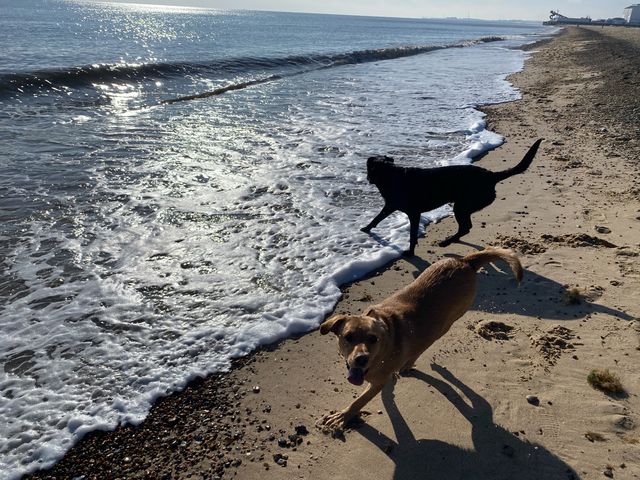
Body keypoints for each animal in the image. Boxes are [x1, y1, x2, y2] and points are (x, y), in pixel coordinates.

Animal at [318, 248, 524, 428]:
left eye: (373, 339)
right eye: (348, 337)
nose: (361, 359)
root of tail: (465, 262)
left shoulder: (377, 383)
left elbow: (360, 401)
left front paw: (344, 415)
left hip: (447, 323)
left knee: (426, 344)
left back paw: (408, 364)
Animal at [362, 139, 544, 255]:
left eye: (369, 168)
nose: (367, 178)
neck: (392, 176)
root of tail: (491, 176)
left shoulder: (413, 213)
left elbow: (412, 234)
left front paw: (410, 252)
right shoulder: (390, 205)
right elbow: (378, 217)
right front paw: (366, 228)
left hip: (463, 205)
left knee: (465, 227)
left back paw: (446, 242)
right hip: (464, 205)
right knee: (466, 227)